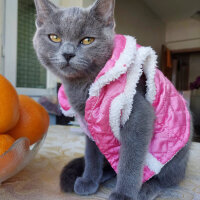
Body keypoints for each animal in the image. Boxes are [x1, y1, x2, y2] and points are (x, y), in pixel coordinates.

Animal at [33, 0, 193, 199]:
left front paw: (123, 194)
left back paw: (147, 188)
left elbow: (130, 160)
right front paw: (89, 180)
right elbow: (91, 155)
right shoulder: (92, 127)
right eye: (54, 37)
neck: (83, 87)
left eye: (87, 40)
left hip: (174, 158)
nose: (68, 54)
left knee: (167, 178)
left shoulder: (139, 116)